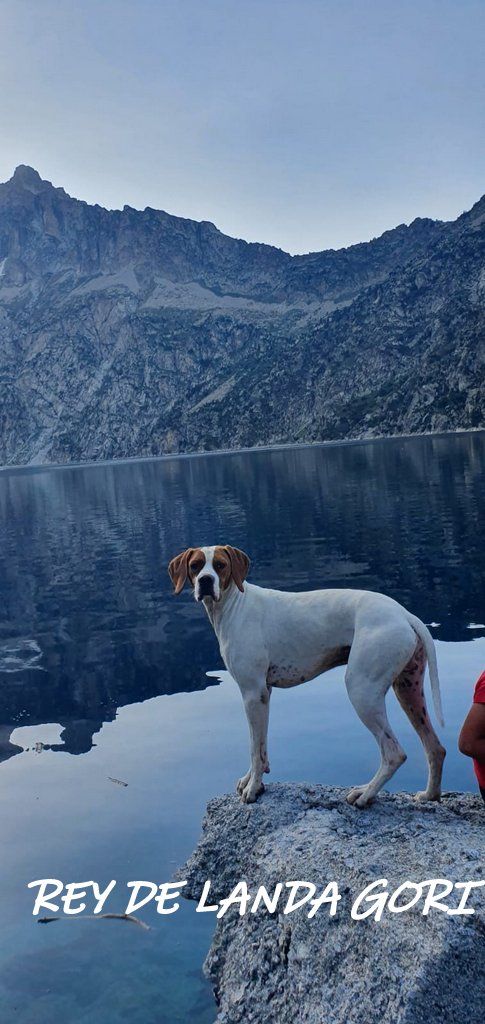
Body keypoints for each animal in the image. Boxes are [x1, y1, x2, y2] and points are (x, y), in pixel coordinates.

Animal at [168, 544, 446, 806]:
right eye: (195, 566)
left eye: (220, 565)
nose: (205, 581)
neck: (235, 605)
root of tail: (404, 614)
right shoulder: (263, 693)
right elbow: (259, 744)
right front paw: (251, 780)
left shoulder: (252, 693)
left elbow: (254, 749)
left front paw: (253, 789)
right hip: (408, 690)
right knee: (435, 748)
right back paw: (429, 795)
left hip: (362, 690)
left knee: (394, 753)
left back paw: (365, 794)